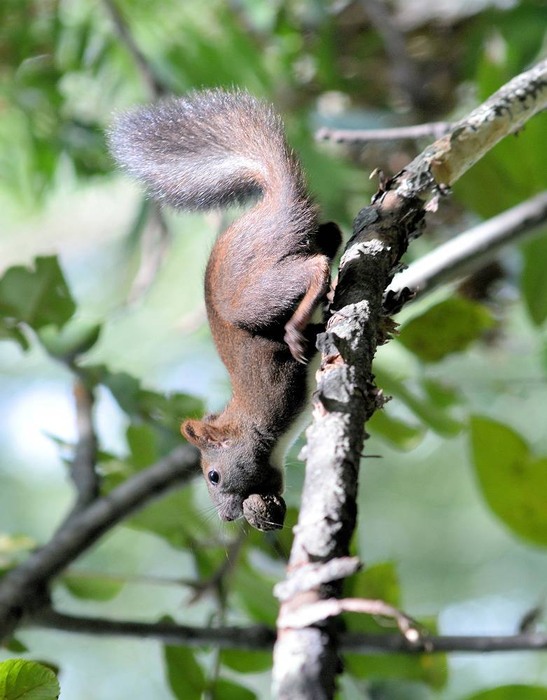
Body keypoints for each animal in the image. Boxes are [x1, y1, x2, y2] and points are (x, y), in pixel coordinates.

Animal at [109, 91, 342, 532]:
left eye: (214, 476)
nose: (228, 516)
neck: (247, 423)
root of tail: (272, 202)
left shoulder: (275, 395)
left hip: (252, 296)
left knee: (313, 267)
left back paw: (299, 323)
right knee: (330, 236)